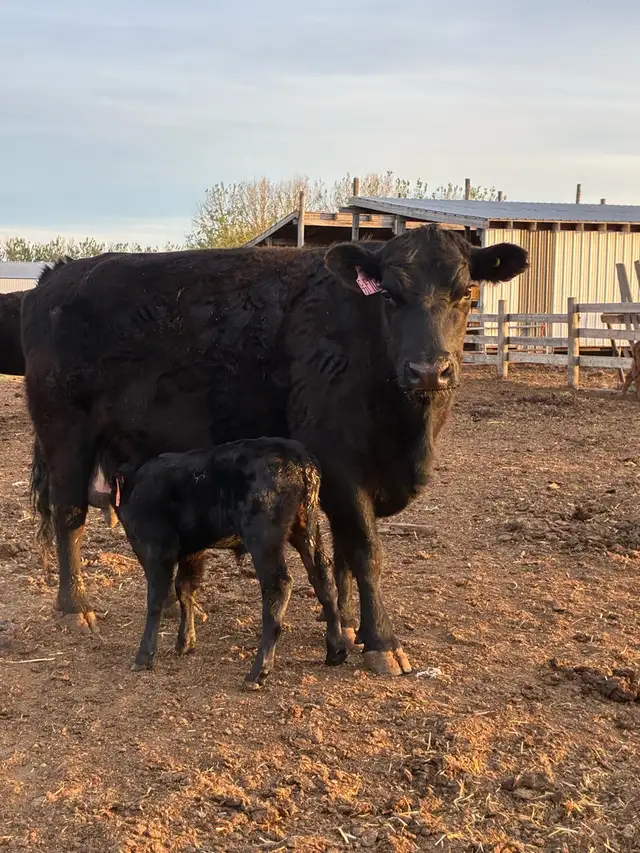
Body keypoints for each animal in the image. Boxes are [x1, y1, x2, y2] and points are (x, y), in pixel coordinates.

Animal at [112, 437, 346, 686]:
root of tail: (299, 457)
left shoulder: (159, 549)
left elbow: (156, 599)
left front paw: (144, 656)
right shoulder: (192, 550)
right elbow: (185, 588)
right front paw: (185, 642)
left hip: (264, 538)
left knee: (278, 584)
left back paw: (258, 672)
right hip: (305, 526)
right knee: (322, 573)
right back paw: (336, 650)